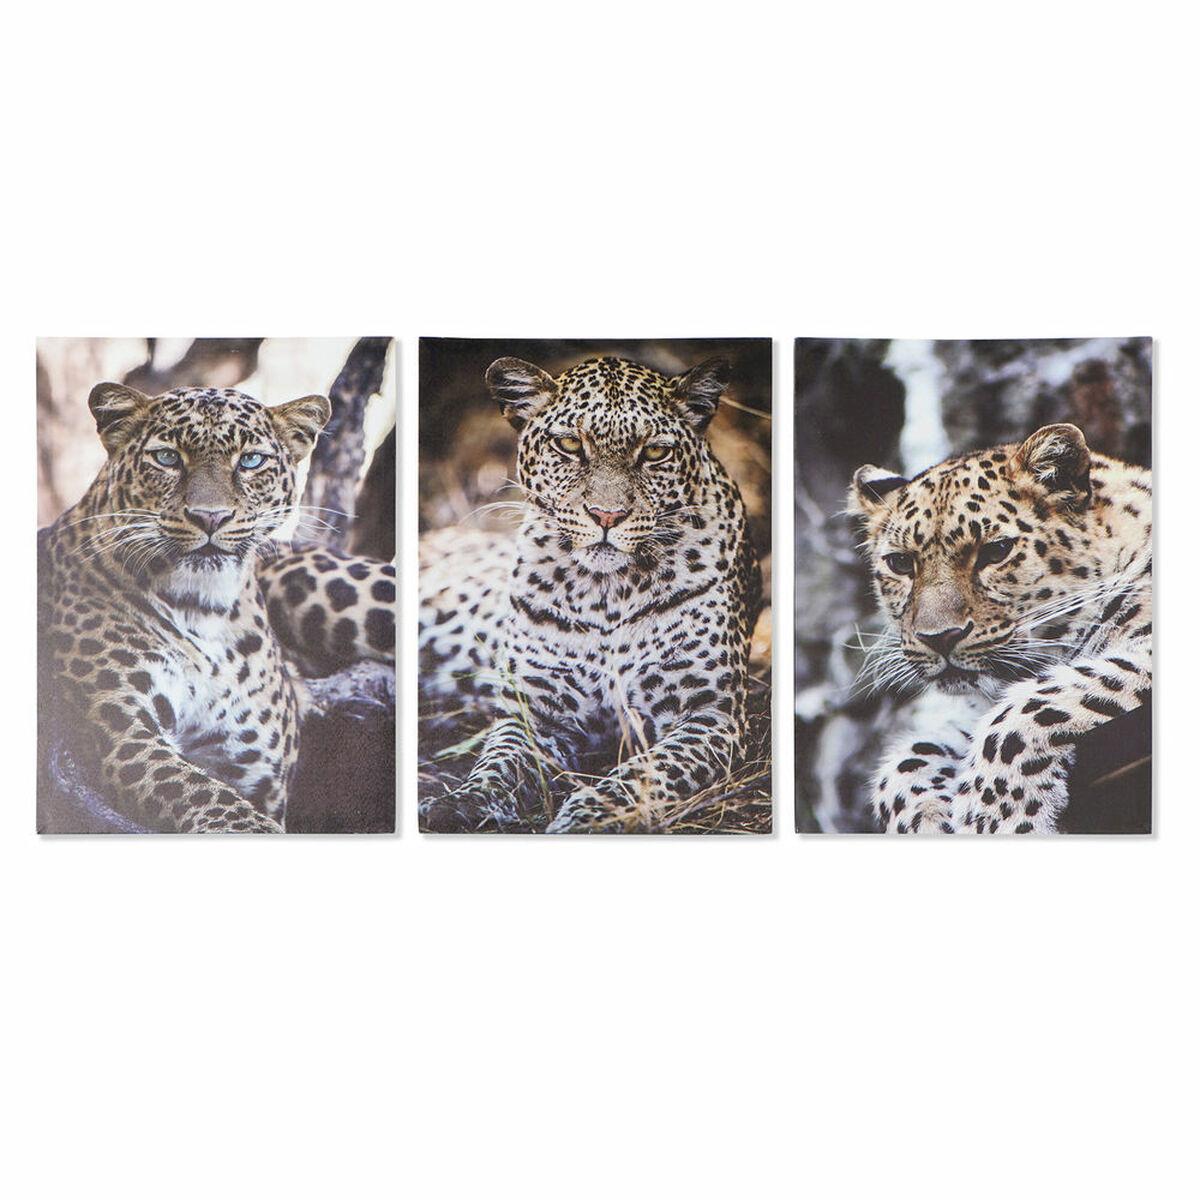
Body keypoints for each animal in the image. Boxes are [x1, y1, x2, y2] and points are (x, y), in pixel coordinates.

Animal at [40, 381, 395, 834]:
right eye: (167, 457)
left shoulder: (251, 767)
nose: (211, 517)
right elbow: (215, 802)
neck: (202, 610)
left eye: (251, 460)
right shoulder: (123, 733)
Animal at [418, 354, 763, 833]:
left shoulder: (710, 716)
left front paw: (588, 816)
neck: (607, 594)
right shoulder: (535, 714)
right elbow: (498, 764)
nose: (607, 515)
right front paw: (461, 802)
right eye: (568, 445)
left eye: (654, 452)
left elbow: (642, 774)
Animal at [850, 422, 1152, 834]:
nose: (938, 638)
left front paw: (995, 819)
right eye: (900, 563)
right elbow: (907, 759)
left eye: (995, 552)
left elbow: (1032, 706)